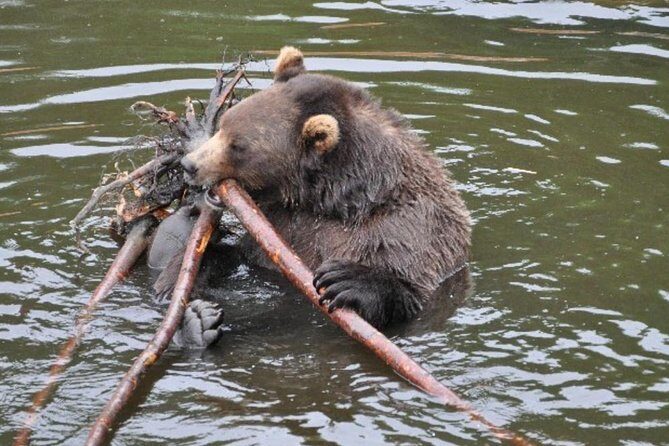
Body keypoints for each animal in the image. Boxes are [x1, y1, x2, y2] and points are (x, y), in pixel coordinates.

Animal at [177, 46, 471, 336]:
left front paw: (345, 280)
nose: (190, 164)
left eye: (238, 146)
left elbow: (408, 283)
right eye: (223, 124)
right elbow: (236, 255)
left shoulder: (409, 228)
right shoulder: (280, 226)